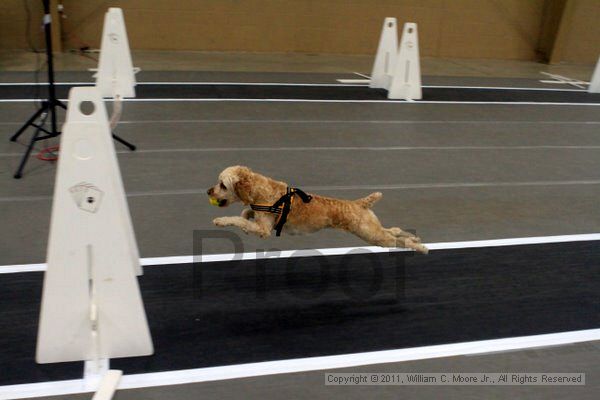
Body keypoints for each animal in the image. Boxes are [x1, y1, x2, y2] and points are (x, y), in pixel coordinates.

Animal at [209, 165, 428, 253]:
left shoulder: (264, 230)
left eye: (222, 185)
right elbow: (245, 214)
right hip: (372, 228)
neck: (262, 190)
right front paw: (246, 217)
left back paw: (421, 247)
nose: (208, 191)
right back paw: (415, 237)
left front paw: (221, 221)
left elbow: (238, 219)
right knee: (394, 231)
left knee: (396, 240)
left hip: (371, 234)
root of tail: (360, 203)